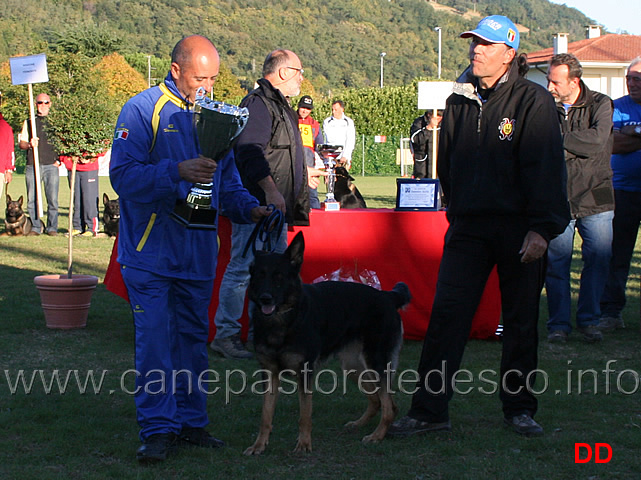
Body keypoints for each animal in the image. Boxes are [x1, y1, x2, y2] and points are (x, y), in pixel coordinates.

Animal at [242, 231, 412, 456]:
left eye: (279, 278)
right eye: (260, 276)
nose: (265, 299)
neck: (284, 319)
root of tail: (388, 296)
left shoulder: (305, 373)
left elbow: (305, 415)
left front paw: (304, 444)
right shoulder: (269, 374)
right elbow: (265, 416)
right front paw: (259, 445)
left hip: (375, 364)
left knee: (389, 406)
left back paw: (376, 436)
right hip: (354, 367)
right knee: (377, 401)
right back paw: (359, 424)